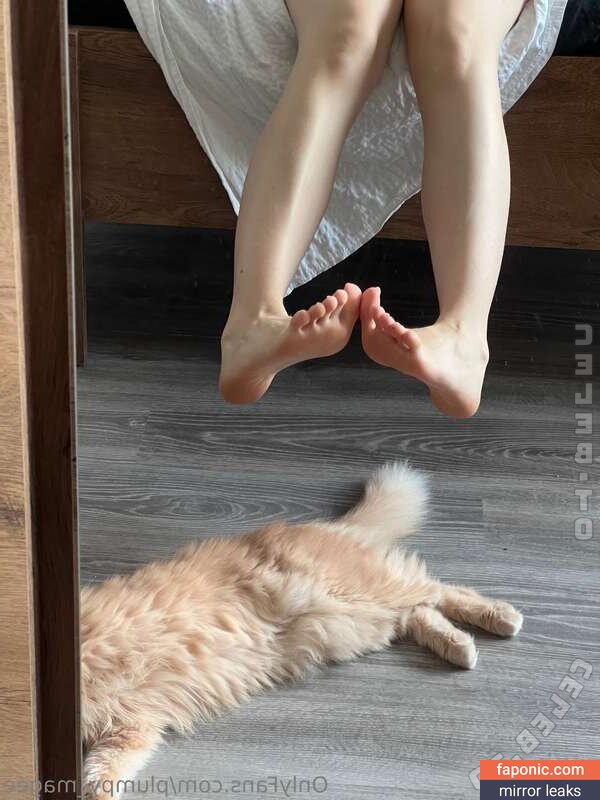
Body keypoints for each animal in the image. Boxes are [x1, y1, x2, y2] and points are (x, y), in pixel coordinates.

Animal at [81, 462, 522, 799]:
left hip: (363, 593)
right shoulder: (133, 726)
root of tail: (327, 526)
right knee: (419, 612)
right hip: (362, 622)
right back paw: (460, 647)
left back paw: (500, 617)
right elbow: (101, 773)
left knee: (440, 589)